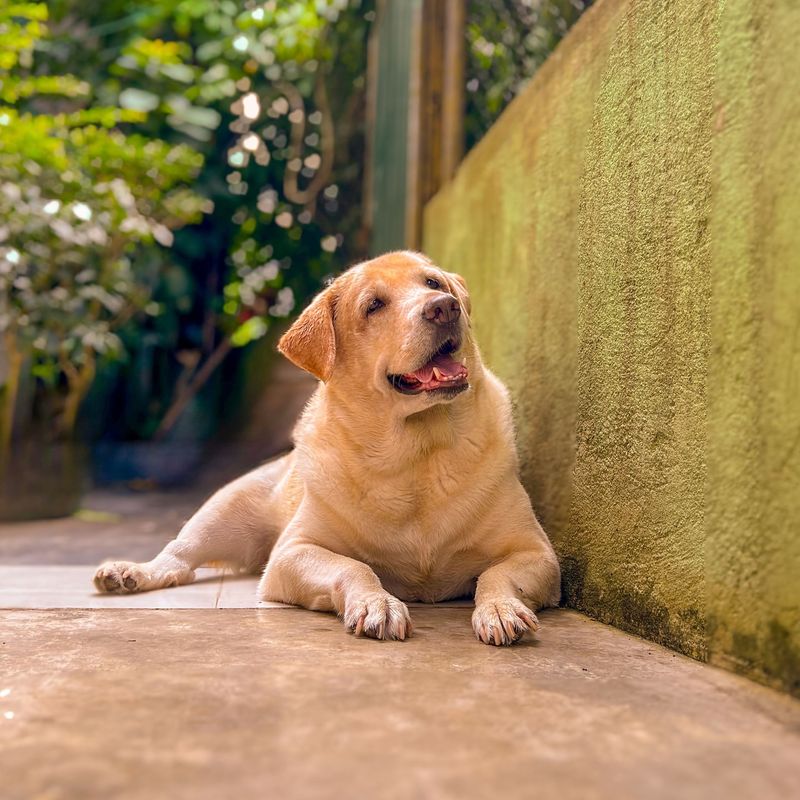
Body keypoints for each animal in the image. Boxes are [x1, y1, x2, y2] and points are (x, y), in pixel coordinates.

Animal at [94, 250, 560, 644]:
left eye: (432, 282)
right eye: (374, 305)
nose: (444, 306)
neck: (416, 455)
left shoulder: (537, 554)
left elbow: (495, 577)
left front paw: (499, 609)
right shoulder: (292, 553)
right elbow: (354, 566)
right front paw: (377, 602)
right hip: (219, 512)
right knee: (177, 558)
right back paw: (129, 572)